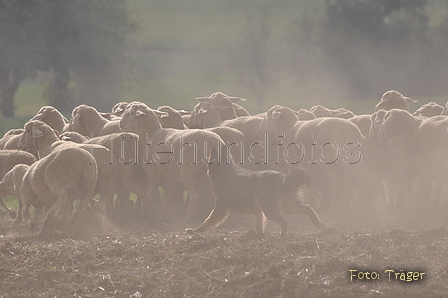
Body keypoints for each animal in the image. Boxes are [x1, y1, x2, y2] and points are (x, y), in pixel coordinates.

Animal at [186, 146, 322, 236]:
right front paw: (257, 234)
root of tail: (283, 178)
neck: (225, 171)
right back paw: (318, 223)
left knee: (284, 222)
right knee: (307, 207)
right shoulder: (258, 211)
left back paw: (283, 236)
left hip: (271, 210)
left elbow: (206, 222)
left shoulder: (220, 209)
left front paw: (195, 230)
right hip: (286, 207)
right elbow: (258, 225)